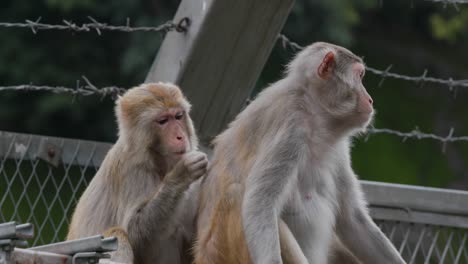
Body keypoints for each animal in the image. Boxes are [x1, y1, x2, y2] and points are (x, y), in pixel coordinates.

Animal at [66, 82, 207, 264]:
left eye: (178, 116)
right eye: (163, 121)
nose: (180, 136)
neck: (157, 162)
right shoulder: (132, 170)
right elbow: (135, 234)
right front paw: (182, 173)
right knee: (118, 236)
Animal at [194, 41, 406, 264]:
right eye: (359, 76)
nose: (370, 99)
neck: (314, 112)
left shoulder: (339, 148)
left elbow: (352, 219)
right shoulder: (291, 130)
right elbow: (259, 204)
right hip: (220, 249)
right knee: (238, 193)